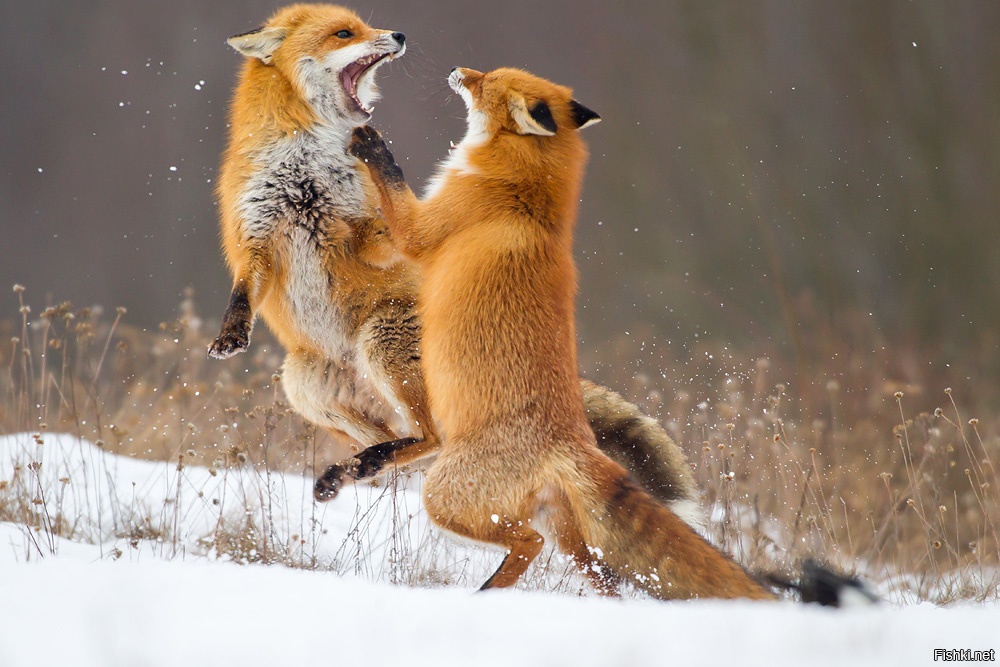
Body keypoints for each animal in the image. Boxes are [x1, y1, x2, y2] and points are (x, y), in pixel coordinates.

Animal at [210, 2, 704, 524]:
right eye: (344, 33)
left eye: (365, 26)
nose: (399, 35)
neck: (307, 167)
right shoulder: (257, 234)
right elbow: (243, 289)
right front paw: (231, 334)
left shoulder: (372, 227)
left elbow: (377, 229)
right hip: (305, 384)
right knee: (401, 443)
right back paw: (350, 471)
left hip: (381, 339)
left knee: (430, 438)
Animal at [348, 68, 776, 600]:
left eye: (487, 80)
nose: (459, 71)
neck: (525, 195)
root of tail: (572, 441)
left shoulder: (420, 231)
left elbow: (392, 185)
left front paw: (371, 144)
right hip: (571, 536)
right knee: (601, 577)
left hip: (446, 496)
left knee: (527, 542)